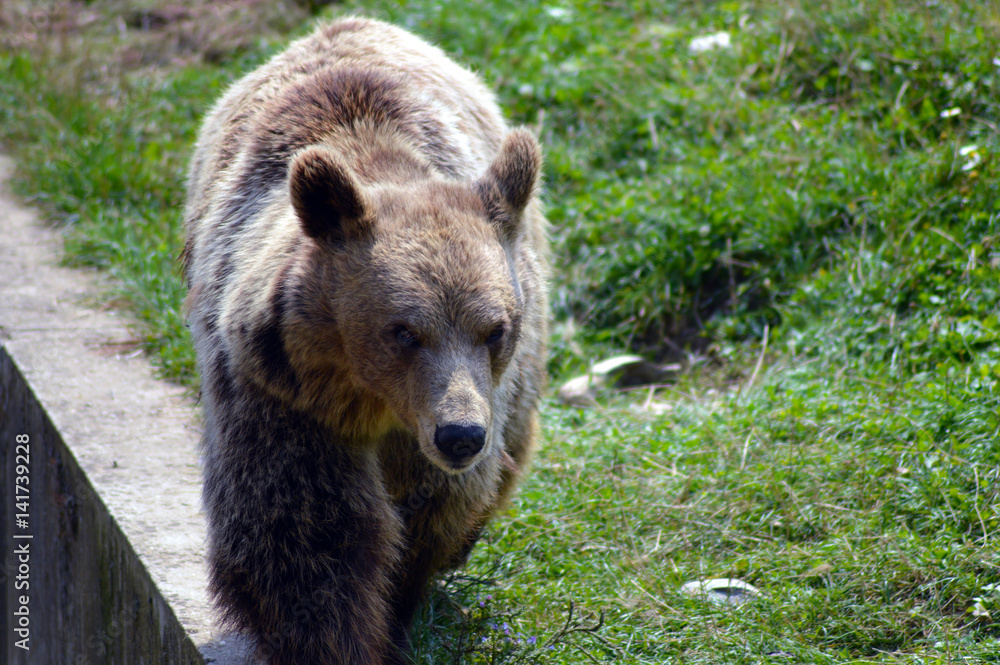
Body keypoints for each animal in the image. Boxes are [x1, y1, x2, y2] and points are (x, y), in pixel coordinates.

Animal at [181, 16, 548, 665]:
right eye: (403, 331)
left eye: (494, 329)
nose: (461, 435)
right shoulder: (281, 390)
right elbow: (306, 528)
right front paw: (330, 639)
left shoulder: (458, 410)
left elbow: (431, 507)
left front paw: (402, 607)